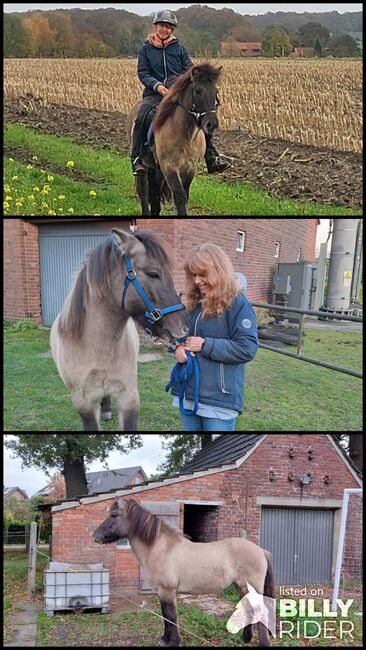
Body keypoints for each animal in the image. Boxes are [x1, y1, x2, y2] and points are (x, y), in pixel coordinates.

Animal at [93, 496, 276, 644]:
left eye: (114, 515)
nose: (95, 536)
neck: (162, 549)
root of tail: (261, 550)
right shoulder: (161, 592)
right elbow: (165, 615)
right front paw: (165, 639)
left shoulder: (167, 591)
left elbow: (171, 616)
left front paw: (173, 641)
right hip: (241, 587)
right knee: (250, 610)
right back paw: (245, 639)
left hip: (250, 588)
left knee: (261, 612)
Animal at [127, 64, 222, 219]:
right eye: (198, 91)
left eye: (216, 91)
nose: (211, 124)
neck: (185, 136)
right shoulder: (169, 167)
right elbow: (179, 196)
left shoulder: (190, 168)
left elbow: (185, 195)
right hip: (145, 165)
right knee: (143, 191)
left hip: (156, 168)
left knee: (154, 194)